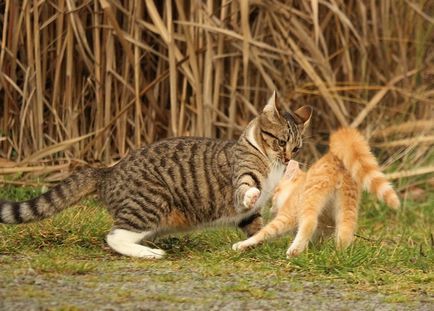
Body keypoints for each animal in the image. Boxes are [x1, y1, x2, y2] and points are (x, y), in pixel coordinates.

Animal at [0, 94, 312, 260]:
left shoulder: (249, 215)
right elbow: (246, 188)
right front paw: (252, 194)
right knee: (114, 236)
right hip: (150, 201)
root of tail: (108, 171)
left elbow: (256, 227)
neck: (270, 164)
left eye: (296, 147)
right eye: (280, 142)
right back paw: (149, 253)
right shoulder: (242, 176)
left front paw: (253, 244)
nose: (288, 159)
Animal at [234, 128, 400, 258]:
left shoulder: (288, 215)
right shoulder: (325, 227)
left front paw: (242, 245)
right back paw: (338, 255)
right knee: (346, 229)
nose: (272, 207)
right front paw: (313, 250)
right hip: (348, 205)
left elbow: (265, 232)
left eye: (275, 193)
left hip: (311, 197)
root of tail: (335, 158)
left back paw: (294, 251)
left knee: (309, 222)